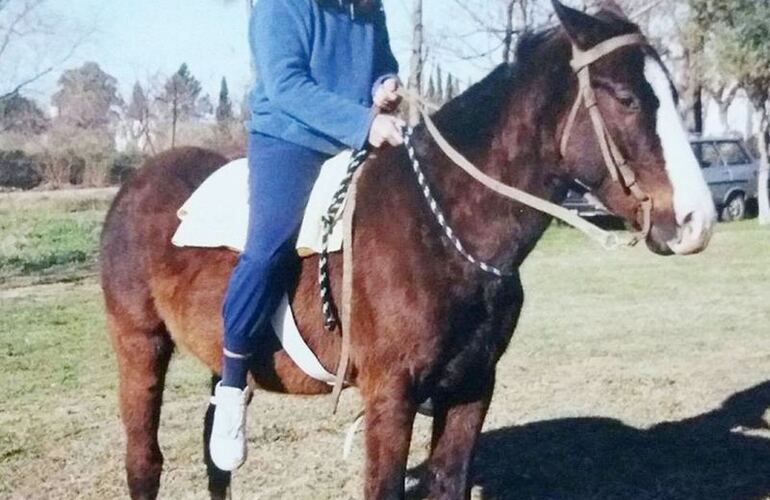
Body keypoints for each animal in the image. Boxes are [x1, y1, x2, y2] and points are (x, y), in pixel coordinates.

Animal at [100, 1, 712, 498]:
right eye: (627, 98)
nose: (695, 221)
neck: (441, 227)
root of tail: (135, 184)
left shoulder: (472, 387)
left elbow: (448, 482)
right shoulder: (391, 397)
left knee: (217, 460)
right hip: (140, 346)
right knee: (144, 462)